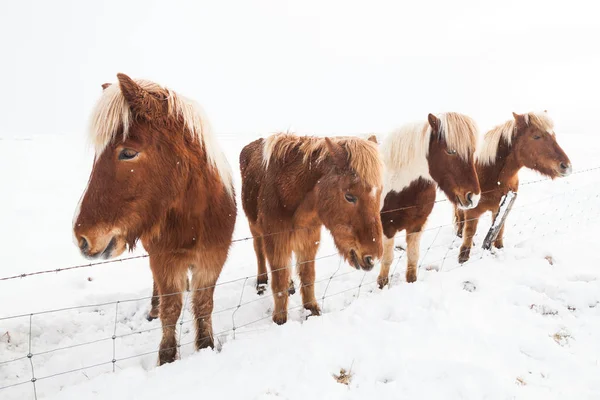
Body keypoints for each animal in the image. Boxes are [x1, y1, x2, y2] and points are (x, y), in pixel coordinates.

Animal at [73, 73, 237, 364]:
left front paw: (205, 346)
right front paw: (167, 358)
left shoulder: (212, 258)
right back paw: (153, 308)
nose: (82, 237)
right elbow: (171, 308)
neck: (192, 222)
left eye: (128, 153)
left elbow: (203, 304)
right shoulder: (165, 260)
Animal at [238, 134, 380, 324]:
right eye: (349, 196)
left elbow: (307, 276)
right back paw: (261, 281)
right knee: (259, 251)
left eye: (379, 193)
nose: (372, 258)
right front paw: (280, 319)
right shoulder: (276, 240)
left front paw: (311, 309)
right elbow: (279, 280)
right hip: (254, 227)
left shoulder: (308, 239)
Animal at [378, 112, 480, 288]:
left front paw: (411, 282)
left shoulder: (417, 225)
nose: (472, 196)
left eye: (472, 151)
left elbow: (413, 257)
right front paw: (381, 286)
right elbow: (387, 260)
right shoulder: (387, 227)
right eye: (450, 151)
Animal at [454, 111, 572, 262]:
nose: (566, 166)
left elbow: (499, 231)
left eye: (554, 135)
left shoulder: (501, 208)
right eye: (536, 136)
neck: (492, 176)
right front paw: (463, 258)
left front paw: (498, 249)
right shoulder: (472, 212)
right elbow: (469, 233)